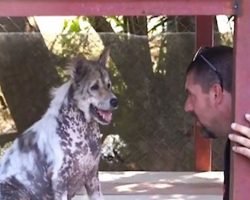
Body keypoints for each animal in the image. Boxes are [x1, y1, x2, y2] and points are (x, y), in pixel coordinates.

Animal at [0, 48, 118, 200]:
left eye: (109, 85)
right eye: (94, 87)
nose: (115, 101)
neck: (84, 132)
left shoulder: (92, 178)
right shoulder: (60, 181)